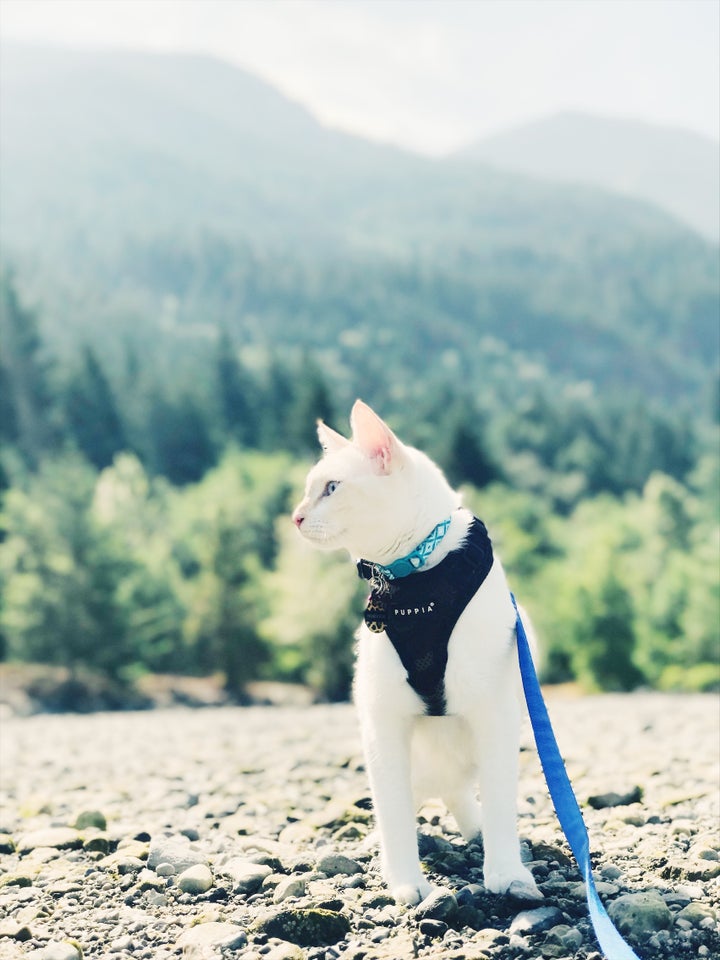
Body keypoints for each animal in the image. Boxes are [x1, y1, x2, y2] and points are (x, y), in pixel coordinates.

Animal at [292, 400, 540, 908]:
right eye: (309, 490)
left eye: (331, 488)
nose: (296, 517)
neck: (416, 575)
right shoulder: (382, 719)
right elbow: (394, 813)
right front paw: (406, 879)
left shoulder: (496, 715)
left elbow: (502, 802)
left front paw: (507, 873)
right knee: (408, 800)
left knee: (464, 793)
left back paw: (479, 832)